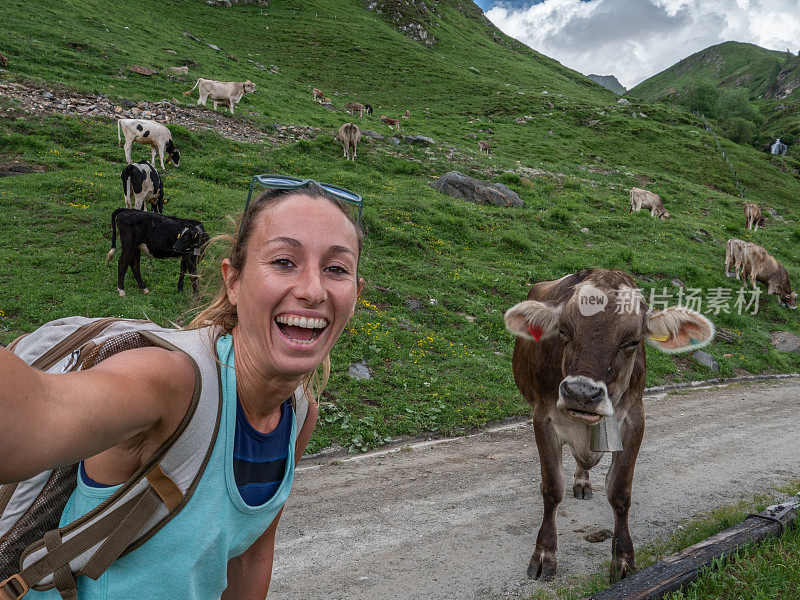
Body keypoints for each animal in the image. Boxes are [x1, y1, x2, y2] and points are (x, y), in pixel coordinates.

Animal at [504, 270, 716, 584]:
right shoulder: (543, 418)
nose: (581, 393)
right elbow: (552, 488)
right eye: (564, 331)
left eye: (633, 341)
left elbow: (620, 491)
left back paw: (583, 481)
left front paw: (624, 560)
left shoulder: (634, 420)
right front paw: (544, 554)